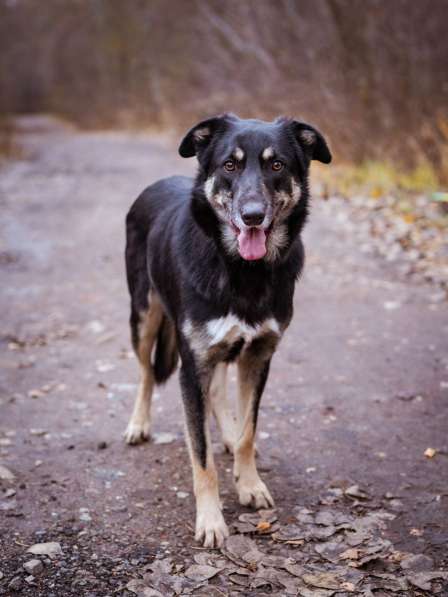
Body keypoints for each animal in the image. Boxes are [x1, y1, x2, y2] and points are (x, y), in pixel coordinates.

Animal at [124, 114, 330, 548]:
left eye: (277, 165)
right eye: (229, 166)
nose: (252, 216)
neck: (242, 271)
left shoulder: (258, 356)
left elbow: (250, 430)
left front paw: (249, 483)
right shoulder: (192, 367)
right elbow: (201, 458)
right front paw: (211, 520)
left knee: (217, 391)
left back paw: (229, 435)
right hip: (143, 317)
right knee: (146, 372)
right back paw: (138, 424)